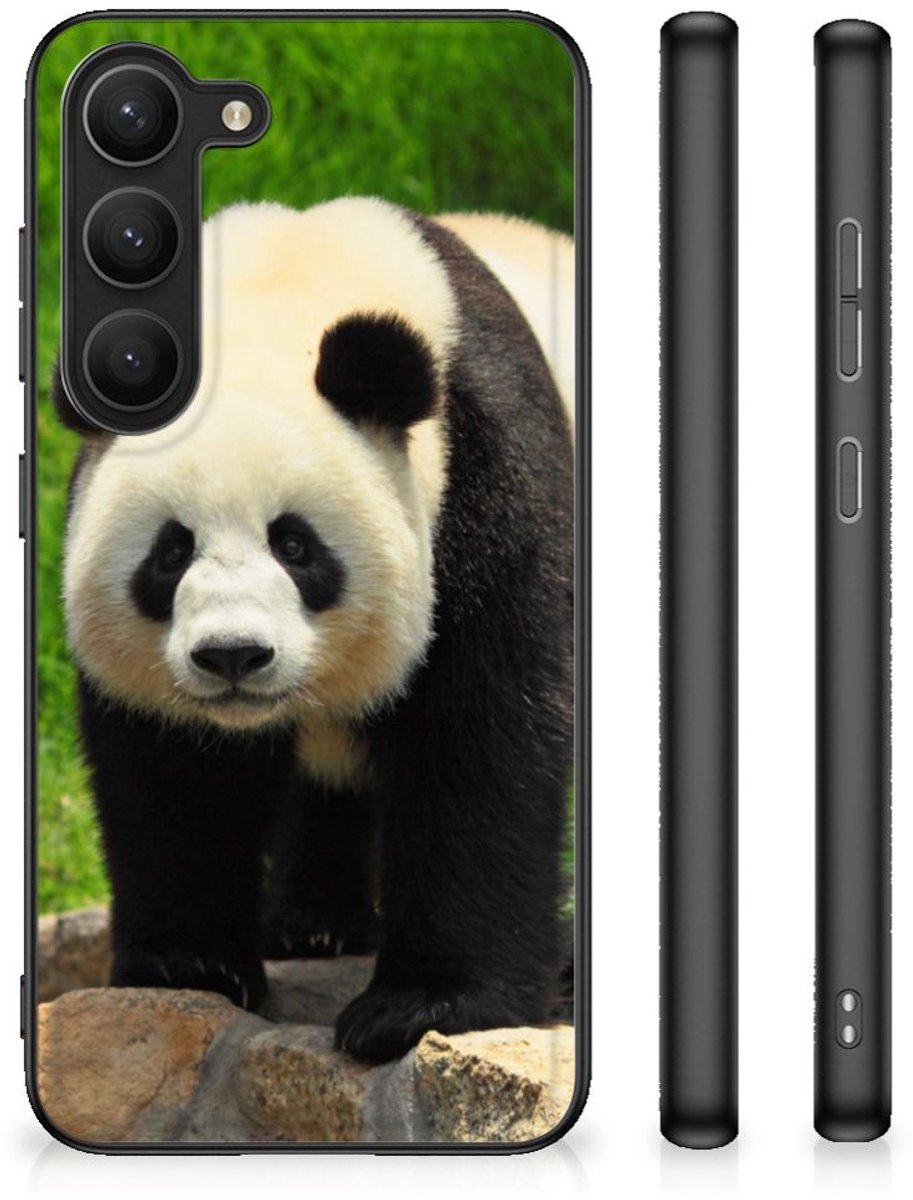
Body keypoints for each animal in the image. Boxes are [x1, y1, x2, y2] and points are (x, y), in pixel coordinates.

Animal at [55, 197, 575, 1064]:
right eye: (171, 551)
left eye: (295, 545)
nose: (232, 655)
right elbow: (174, 772)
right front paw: (189, 964)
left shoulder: (487, 477)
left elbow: (483, 739)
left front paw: (422, 1006)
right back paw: (312, 925)